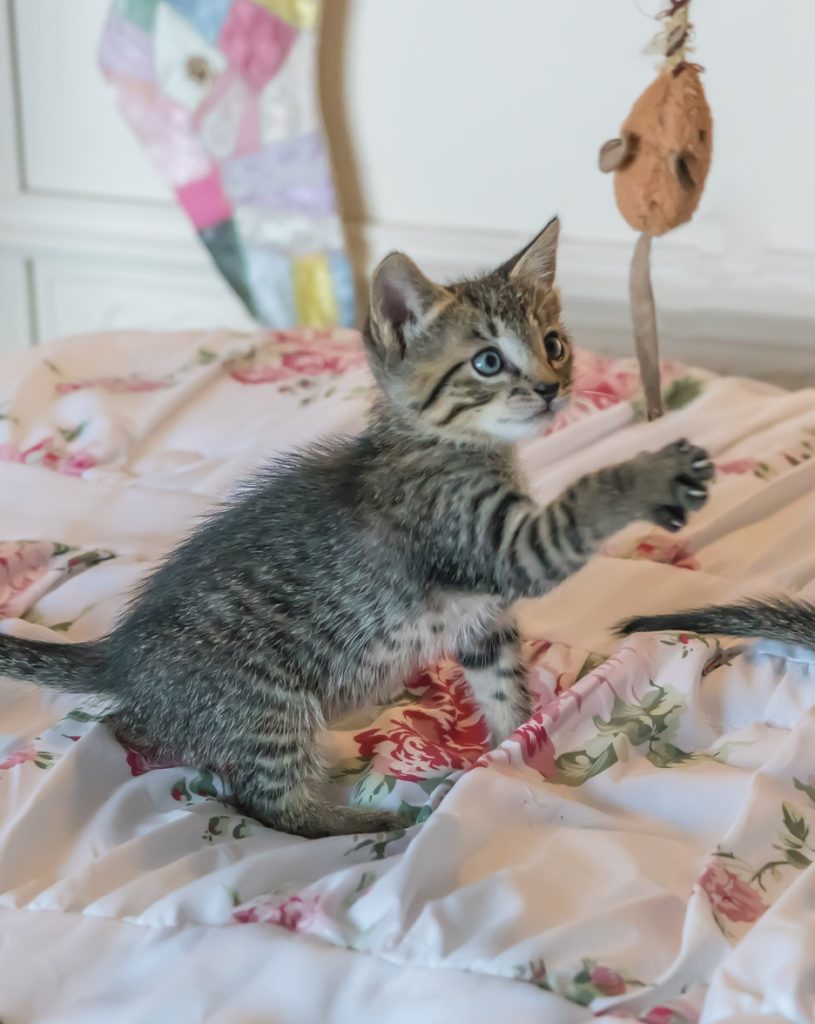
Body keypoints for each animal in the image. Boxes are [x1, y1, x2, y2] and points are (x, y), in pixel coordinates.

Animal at [0, 220, 712, 835]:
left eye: (554, 344)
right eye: (487, 362)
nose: (550, 388)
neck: (448, 445)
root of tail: (122, 657)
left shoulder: (482, 617)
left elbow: (503, 685)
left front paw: (517, 749)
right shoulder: (493, 545)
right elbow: (585, 500)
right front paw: (652, 472)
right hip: (268, 703)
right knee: (266, 805)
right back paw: (370, 823)